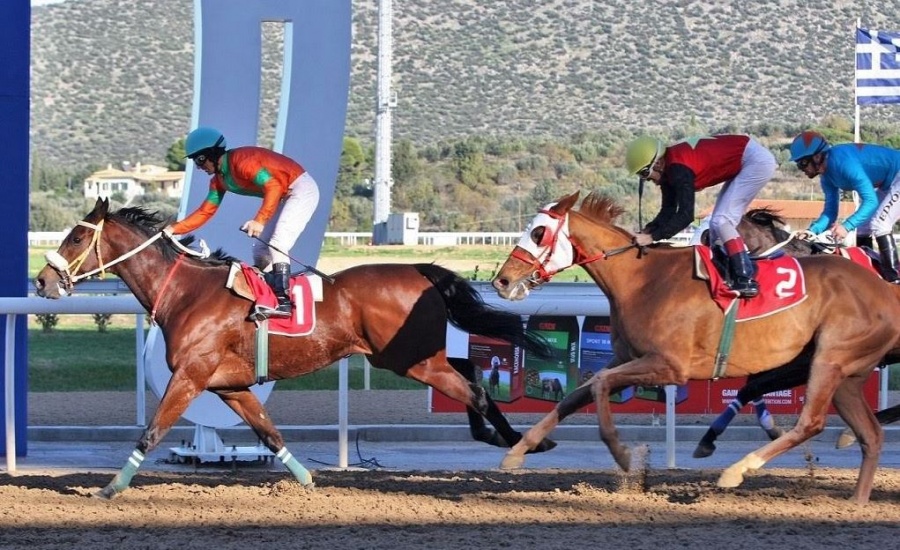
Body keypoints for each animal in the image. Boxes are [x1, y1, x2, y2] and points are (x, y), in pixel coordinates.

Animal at [31, 198, 556, 500]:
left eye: (75, 237)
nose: (42, 280)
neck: (186, 293)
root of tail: (418, 270)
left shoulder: (191, 377)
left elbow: (151, 432)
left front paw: (110, 489)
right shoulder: (231, 387)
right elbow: (269, 434)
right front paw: (306, 482)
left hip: (409, 358)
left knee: (476, 390)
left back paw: (519, 441)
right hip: (410, 356)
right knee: (469, 370)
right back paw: (511, 436)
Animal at [492, 192, 900, 506]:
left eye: (538, 232)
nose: (502, 281)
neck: (642, 281)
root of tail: (885, 291)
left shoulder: (670, 366)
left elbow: (600, 385)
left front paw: (624, 457)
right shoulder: (627, 357)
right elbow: (577, 393)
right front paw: (518, 450)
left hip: (829, 360)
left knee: (812, 422)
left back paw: (737, 471)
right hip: (846, 375)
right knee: (871, 434)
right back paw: (857, 500)